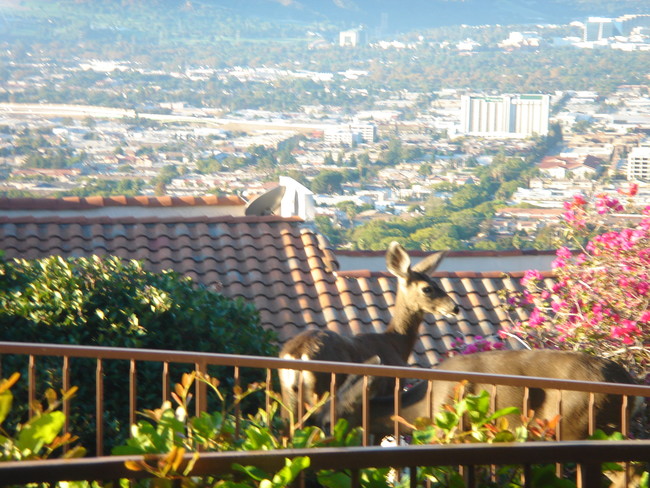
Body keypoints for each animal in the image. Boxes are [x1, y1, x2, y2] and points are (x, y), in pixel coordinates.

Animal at [278, 242, 456, 422]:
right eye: (427, 289)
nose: (454, 308)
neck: (396, 343)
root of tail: (298, 354)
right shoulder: (391, 388)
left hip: (289, 398)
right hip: (322, 389)